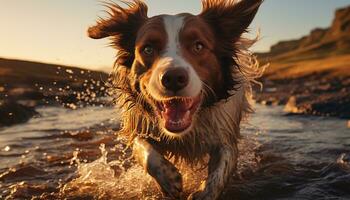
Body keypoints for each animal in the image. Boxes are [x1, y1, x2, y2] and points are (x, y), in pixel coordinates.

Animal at [87, 0, 262, 199]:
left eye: (198, 46)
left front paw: (204, 192)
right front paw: (168, 178)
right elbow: (143, 148)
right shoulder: (140, 126)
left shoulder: (225, 134)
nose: (173, 78)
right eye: (147, 48)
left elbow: (221, 170)